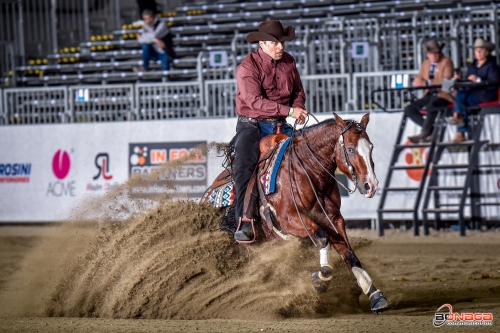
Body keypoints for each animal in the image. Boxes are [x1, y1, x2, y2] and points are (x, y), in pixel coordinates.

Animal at [203, 113, 390, 312]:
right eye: (350, 149)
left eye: (371, 147)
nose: (371, 186)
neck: (307, 171)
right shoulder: (288, 220)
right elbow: (323, 237)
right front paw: (320, 278)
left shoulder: (334, 219)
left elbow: (349, 254)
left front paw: (375, 295)